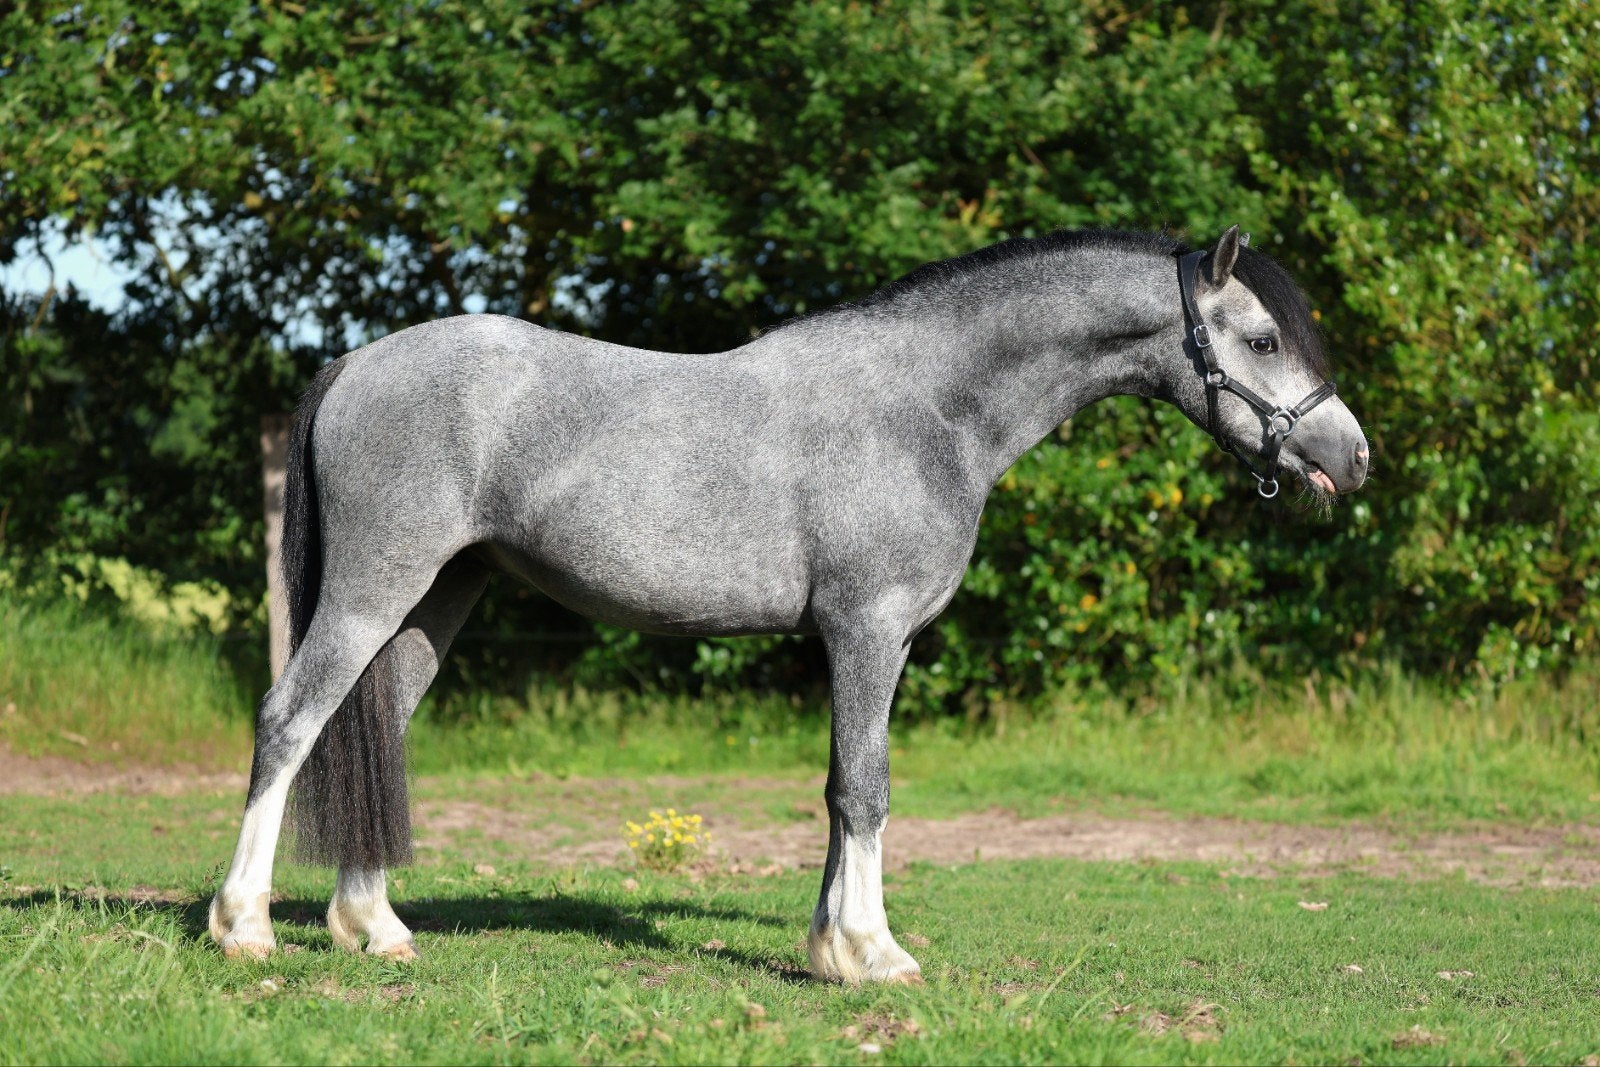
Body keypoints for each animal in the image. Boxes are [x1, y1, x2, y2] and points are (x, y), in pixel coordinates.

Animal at [209, 225, 1368, 983]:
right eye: (1263, 339)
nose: (1351, 457)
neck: (928, 406)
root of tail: (354, 362)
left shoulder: (864, 641)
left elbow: (835, 788)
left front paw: (827, 945)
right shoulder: (869, 631)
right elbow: (865, 787)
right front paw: (872, 952)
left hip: (434, 601)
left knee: (373, 730)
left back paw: (375, 928)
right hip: (374, 587)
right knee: (290, 720)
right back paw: (245, 926)